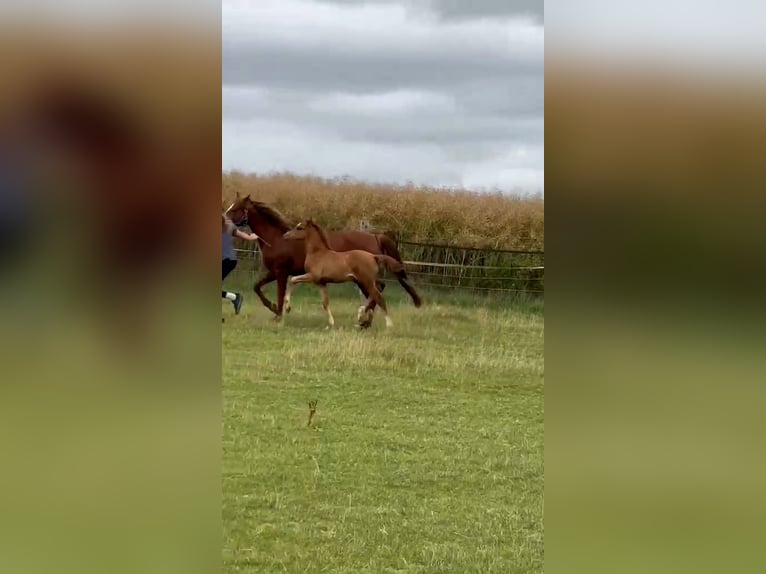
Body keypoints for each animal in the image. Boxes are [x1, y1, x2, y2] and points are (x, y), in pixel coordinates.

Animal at [224, 194, 422, 325]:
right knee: (376, 292)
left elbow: (280, 293)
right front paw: (273, 308)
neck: (277, 238)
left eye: (235, 208)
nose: (223, 219)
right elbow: (257, 287)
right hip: (360, 279)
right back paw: (365, 321)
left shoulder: (281, 272)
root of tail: (375, 236)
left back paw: (363, 318)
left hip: (362, 278)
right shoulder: (273, 272)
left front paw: (279, 314)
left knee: (377, 290)